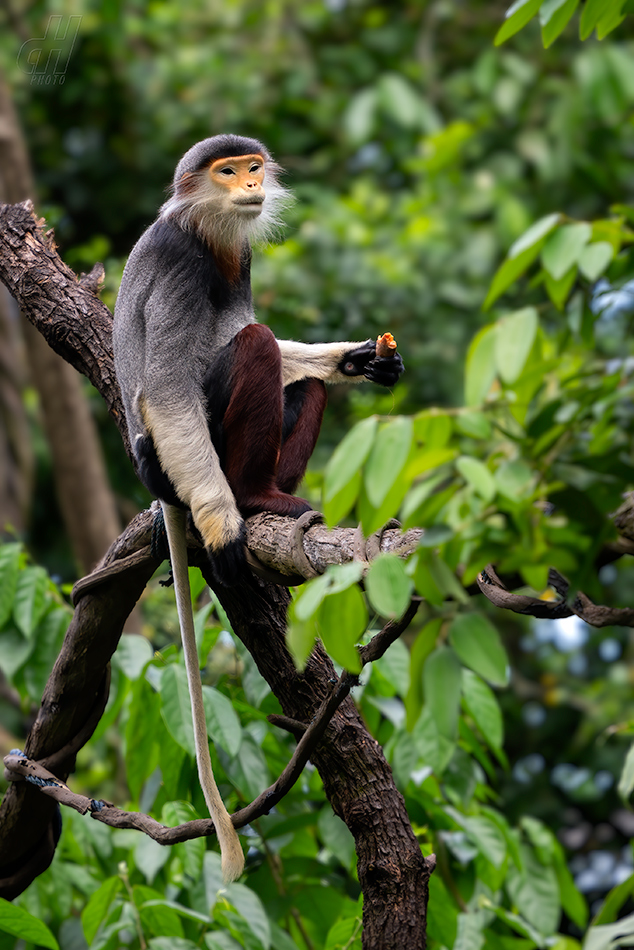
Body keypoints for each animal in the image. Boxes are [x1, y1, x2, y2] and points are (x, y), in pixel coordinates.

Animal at [111, 134, 402, 884]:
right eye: (226, 171)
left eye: (250, 167)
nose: (249, 184)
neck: (208, 231)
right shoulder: (182, 264)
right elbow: (170, 385)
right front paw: (223, 528)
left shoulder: (238, 260)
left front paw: (358, 358)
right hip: (183, 455)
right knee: (256, 345)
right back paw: (249, 501)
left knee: (291, 372)